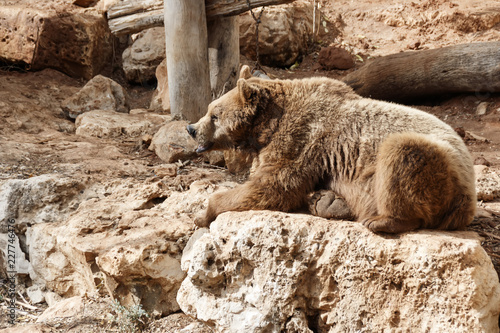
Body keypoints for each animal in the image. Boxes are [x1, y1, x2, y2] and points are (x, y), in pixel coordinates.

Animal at [187, 68, 476, 232]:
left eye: (214, 115)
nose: (191, 128)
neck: (266, 127)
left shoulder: (301, 140)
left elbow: (273, 185)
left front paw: (203, 214)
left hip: (441, 170)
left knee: (401, 154)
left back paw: (381, 221)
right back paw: (329, 202)